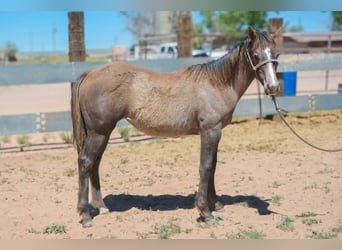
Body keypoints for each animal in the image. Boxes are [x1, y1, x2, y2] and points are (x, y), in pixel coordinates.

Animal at [71, 26, 280, 228]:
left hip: (102, 134)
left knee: (95, 164)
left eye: (276, 54)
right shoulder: (210, 131)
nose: (273, 87)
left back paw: (102, 206)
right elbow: (205, 167)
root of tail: (89, 74)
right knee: (86, 162)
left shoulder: (215, 132)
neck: (216, 84)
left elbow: (212, 166)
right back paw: (86, 216)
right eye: (256, 55)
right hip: (99, 133)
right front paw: (205, 212)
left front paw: (216, 203)